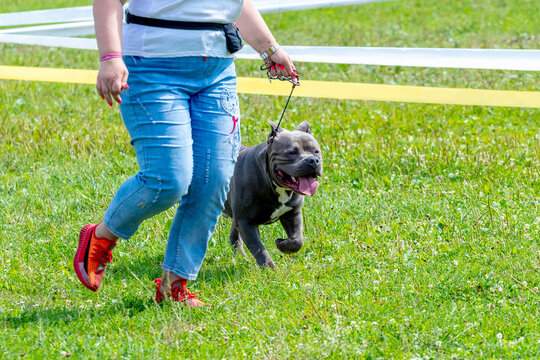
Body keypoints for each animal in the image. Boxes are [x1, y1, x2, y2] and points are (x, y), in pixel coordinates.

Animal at [223, 120, 322, 268]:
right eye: (292, 152)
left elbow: (297, 240)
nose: (313, 160)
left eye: (316, 151)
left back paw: (241, 258)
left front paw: (282, 244)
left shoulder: (292, 213)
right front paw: (269, 269)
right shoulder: (245, 221)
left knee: (234, 237)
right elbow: (259, 249)